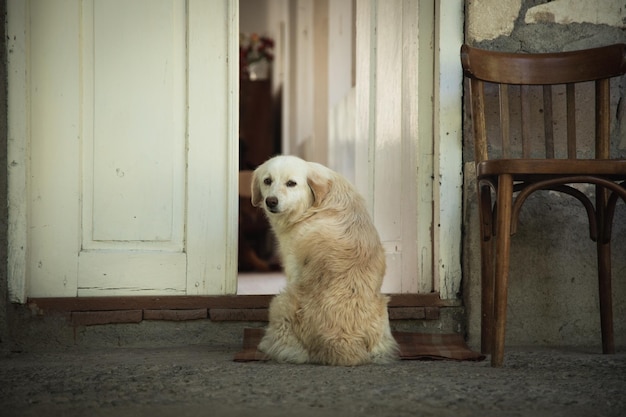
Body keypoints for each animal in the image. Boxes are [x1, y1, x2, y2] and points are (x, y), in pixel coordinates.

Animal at [249, 154, 394, 364]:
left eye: (291, 183)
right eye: (267, 181)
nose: (271, 201)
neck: (314, 204)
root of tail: (342, 343)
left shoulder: (293, 266)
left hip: (278, 302)